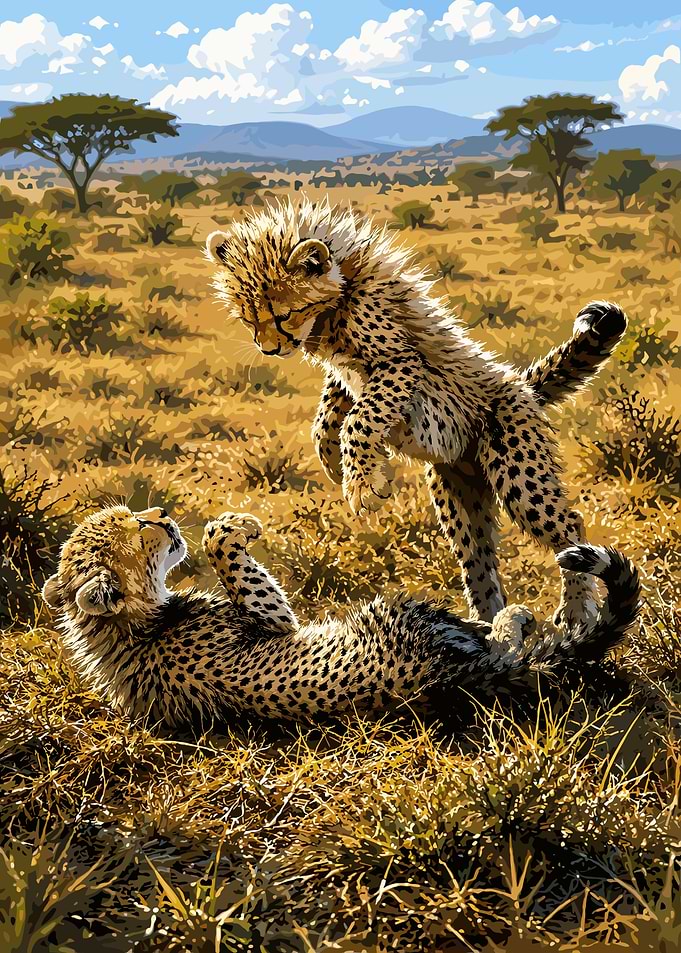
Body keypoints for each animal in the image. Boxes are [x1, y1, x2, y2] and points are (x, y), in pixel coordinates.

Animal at [42, 504, 640, 732]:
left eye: (131, 514)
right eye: (138, 528)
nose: (162, 516)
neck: (126, 630)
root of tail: (449, 682)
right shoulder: (272, 625)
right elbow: (227, 554)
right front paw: (235, 525)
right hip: (400, 612)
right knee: (500, 642)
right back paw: (515, 616)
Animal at [205, 198, 628, 630]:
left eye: (283, 314)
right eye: (247, 317)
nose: (268, 348)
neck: (336, 303)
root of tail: (521, 385)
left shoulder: (400, 361)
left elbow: (359, 419)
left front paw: (362, 484)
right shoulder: (346, 375)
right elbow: (330, 411)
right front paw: (331, 457)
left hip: (517, 469)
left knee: (568, 526)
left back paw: (575, 608)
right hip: (458, 497)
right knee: (478, 559)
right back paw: (487, 623)